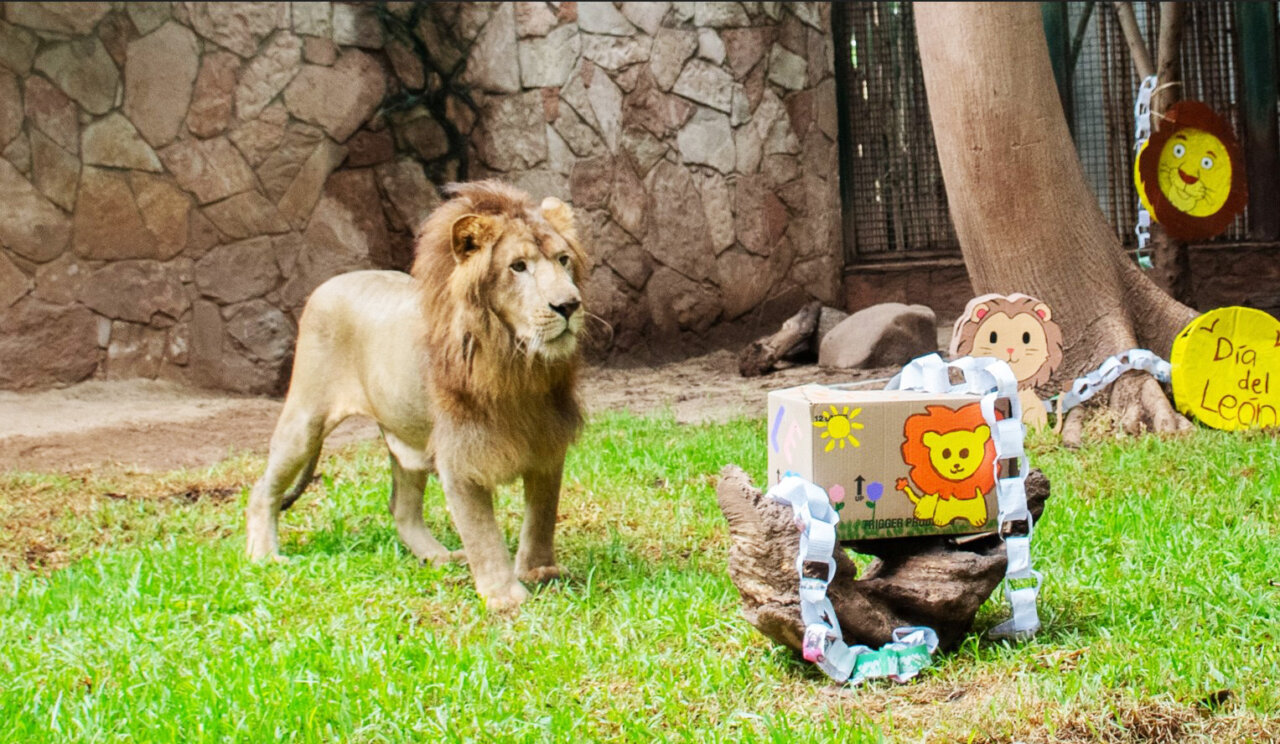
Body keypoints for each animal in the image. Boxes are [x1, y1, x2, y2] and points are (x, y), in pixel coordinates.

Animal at [245, 180, 588, 609]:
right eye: (518, 266)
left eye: (563, 260)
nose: (568, 305)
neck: (518, 365)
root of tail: (328, 283)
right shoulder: (461, 453)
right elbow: (482, 533)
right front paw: (505, 598)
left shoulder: (546, 440)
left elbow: (541, 515)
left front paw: (540, 572)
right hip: (305, 420)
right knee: (262, 489)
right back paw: (265, 555)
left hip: (407, 442)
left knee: (402, 508)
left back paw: (438, 557)